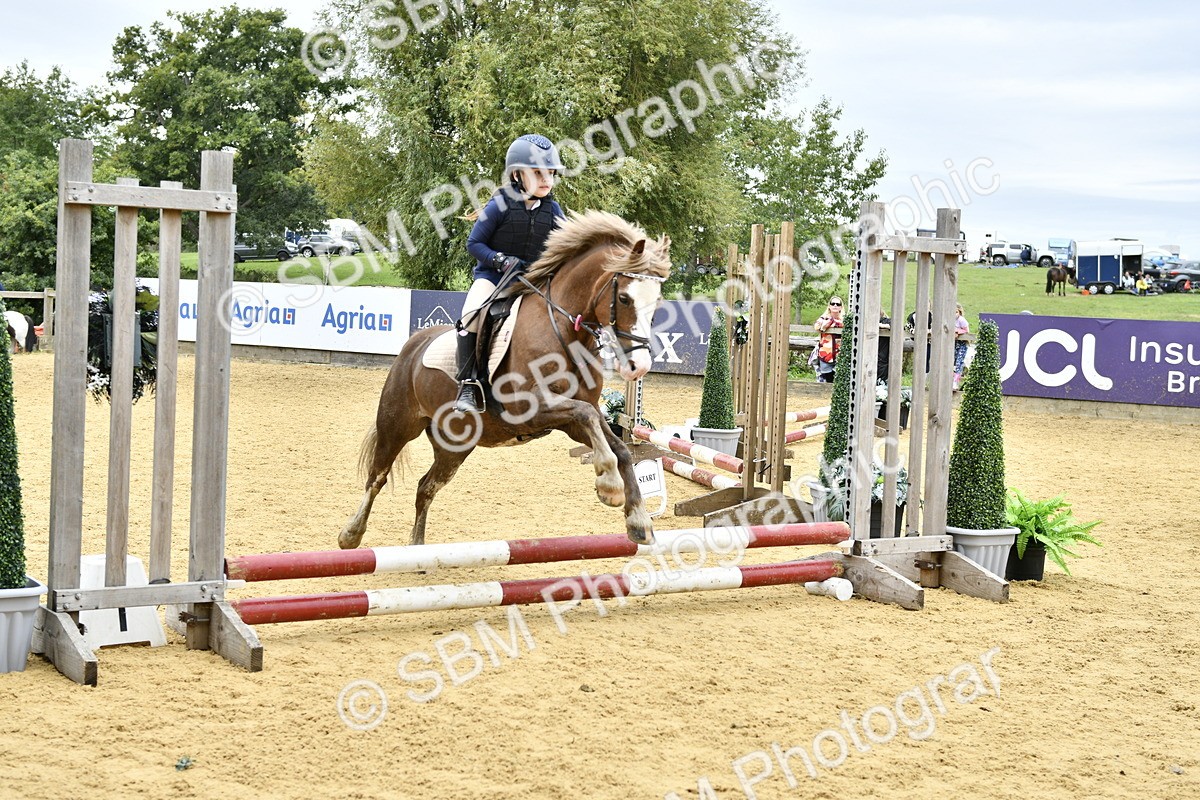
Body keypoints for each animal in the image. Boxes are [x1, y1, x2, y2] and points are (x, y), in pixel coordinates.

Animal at [339, 210, 671, 550]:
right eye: (624, 298)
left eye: (657, 303)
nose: (639, 366)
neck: (563, 330)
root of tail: (413, 344)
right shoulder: (531, 408)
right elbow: (588, 414)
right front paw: (609, 485)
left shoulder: (567, 419)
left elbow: (618, 446)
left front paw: (638, 521)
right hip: (397, 424)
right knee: (377, 477)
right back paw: (351, 534)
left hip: (455, 444)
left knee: (426, 487)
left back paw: (417, 550)